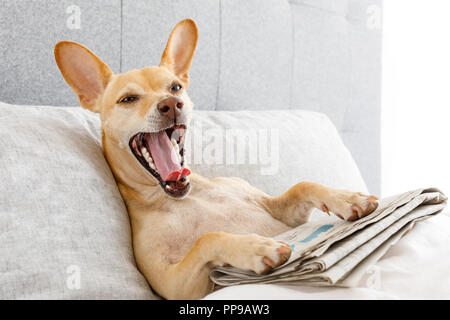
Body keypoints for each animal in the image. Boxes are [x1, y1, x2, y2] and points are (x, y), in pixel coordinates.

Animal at [53, 18, 380, 298]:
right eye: (128, 99)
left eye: (175, 87)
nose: (172, 104)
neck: (184, 196)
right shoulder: (177, 286)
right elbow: (207, 239)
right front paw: (254, 247)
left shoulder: (286, 216)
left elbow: (303, 185)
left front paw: (347, 198)